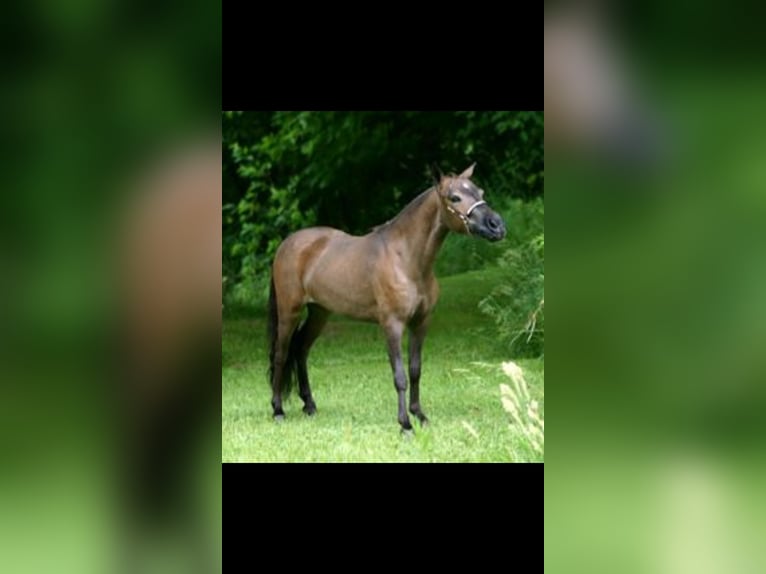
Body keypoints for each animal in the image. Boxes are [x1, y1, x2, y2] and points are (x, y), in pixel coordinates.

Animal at [267, 163, 506, 432]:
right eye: (454, 197)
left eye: (479, 191)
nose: (497, 225)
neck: (406, 260)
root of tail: (287, 244)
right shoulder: (392, 325)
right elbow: (399, 375)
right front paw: (405, 424)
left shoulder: (421, 323)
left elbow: (415, 370)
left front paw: (419, 415)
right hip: (290, 311)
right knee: (281, 354)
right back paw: (277, 410)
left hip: (319, 312)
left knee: (301, 350)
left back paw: (309, 405)